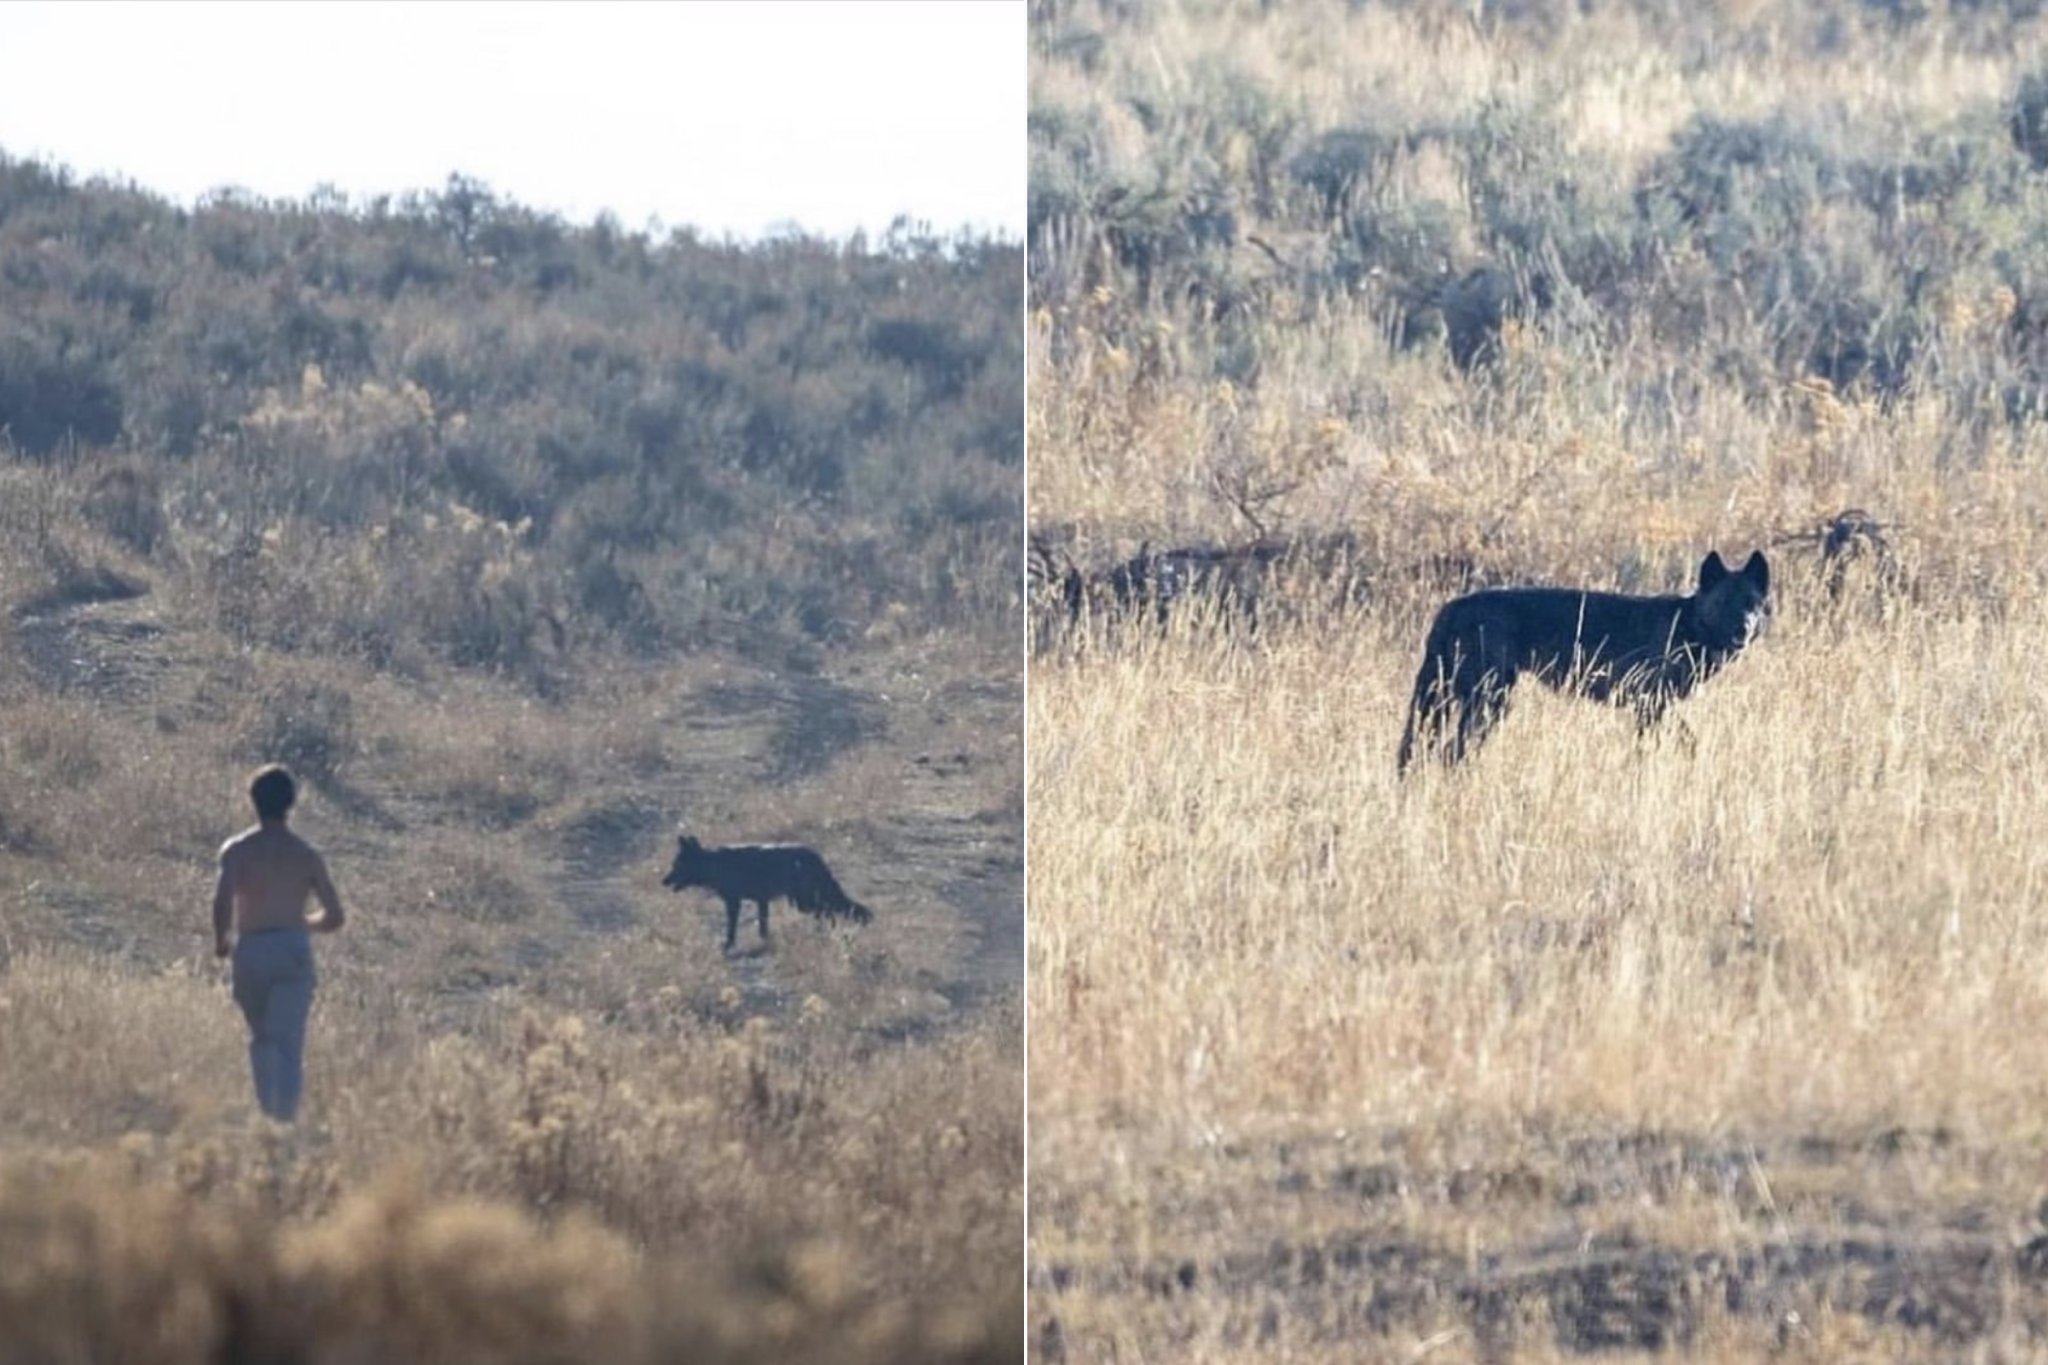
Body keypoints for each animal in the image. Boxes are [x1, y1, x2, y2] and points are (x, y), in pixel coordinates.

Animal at [663, 834, 872, 949]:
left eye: (676, 866)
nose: (663, 881)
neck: (715, 865)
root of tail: (815, 856)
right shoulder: (761, 901)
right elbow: (763, 927)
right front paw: (765, 942)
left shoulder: (734, 902)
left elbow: (732, 928)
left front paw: (728, 944)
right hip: (803, 902)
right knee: (828, 912)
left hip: (803, 904)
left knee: (828, 912)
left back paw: (825, 932)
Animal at [1400, 552, 1769, 769]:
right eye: (1724, 602)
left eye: (1751, 603)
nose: (1743, 629)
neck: (1689, 625)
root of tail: (1451, 607)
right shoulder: (1649, 703)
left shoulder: (1656, 705)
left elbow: (1690, 741)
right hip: (1490, 702)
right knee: (1452, 752)